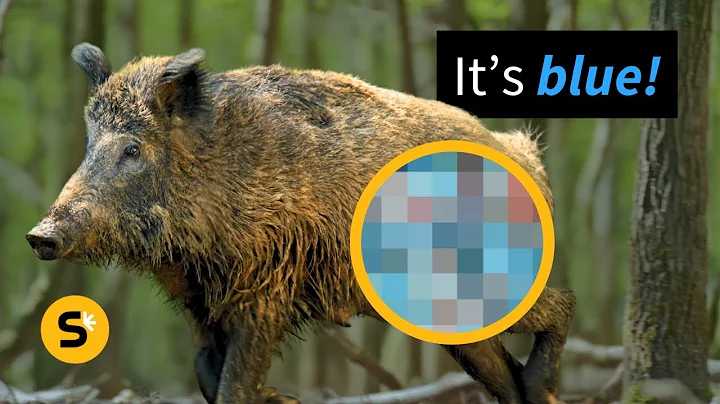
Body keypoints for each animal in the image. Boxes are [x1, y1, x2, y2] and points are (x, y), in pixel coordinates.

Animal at [26, 43, 575, 404]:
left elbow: (233, 385)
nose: (38, 236)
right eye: (89, 143)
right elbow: (205, 373)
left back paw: (543, 386)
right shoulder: (198, 301)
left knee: (561, 305)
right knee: (502, 374)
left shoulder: (266, 287)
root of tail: (529, 156)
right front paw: (280, 398)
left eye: (132, 149)